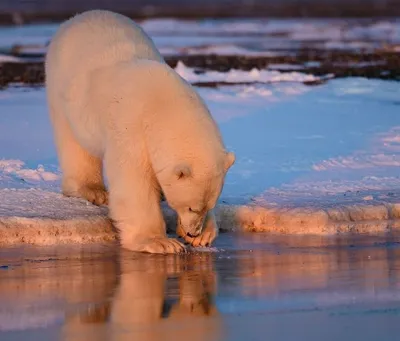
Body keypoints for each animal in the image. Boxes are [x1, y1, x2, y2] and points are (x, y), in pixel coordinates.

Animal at [45, 9, 236, 252]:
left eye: (207, 205)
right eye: (191, 207)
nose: (193, 231)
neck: (165, 105)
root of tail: (80, 16)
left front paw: (204, 235)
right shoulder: (132, 129)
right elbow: (134, 182)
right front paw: (162, 242)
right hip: (63, 91)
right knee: (74, 144)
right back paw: (93, 190)